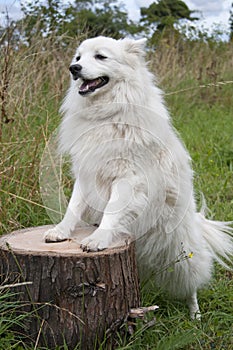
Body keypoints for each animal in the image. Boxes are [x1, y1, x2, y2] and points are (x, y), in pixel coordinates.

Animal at [44, 37, 233, 318]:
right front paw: (60, 231)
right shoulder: (87, 173)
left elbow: (111, 212)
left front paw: (98, 239)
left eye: (100, 56)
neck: (107, 113)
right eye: (78, 57)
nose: (73, 69)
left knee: (192, 285)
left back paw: (195, 316)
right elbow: (73, 207)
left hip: (183, 254)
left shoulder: (127, 178)